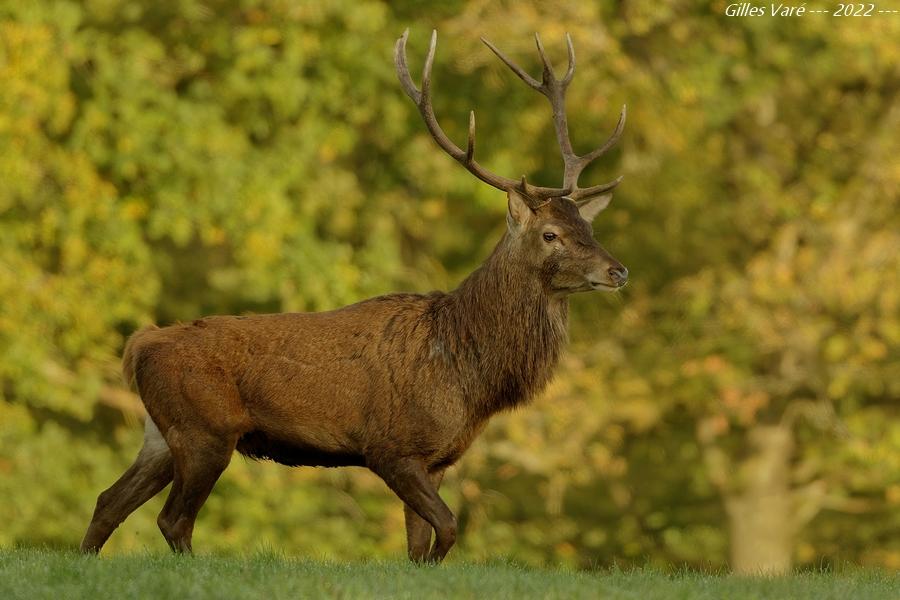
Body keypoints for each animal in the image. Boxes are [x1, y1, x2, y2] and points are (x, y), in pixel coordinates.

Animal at [81, 28, 628, 564]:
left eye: (588, 227)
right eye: (551, 234)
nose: (618, 269)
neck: (469, 374)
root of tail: (140, 346)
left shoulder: (436, 458)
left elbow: (419, 546)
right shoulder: (391, 447)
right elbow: (447, 530)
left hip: (160, 434)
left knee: (108, 500)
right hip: (205, 431)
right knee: (172, 520)